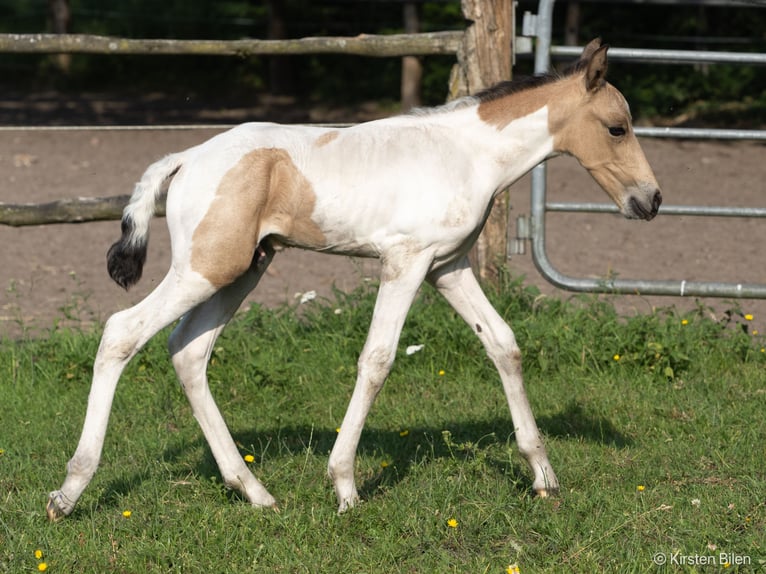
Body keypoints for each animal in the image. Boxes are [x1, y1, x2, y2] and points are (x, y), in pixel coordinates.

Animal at [48, 38, 664, 520]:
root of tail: (187, 156)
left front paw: (543, 477)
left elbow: (504, 344)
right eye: (617, 128)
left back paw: (255, 492)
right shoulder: (406, 262)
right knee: (122, 332)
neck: (467, 154)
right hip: (205, 268)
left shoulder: (448, 268)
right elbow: (377, 360)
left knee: (188, 351)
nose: (652, 201)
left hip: (245, 268)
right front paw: (344, 486)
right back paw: (69, 492)